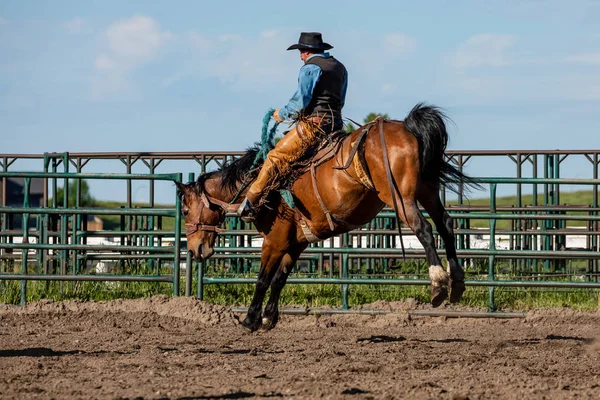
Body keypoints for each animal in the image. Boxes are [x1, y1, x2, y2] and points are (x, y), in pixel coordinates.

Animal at [176, 103, 480, 332]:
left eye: (185, 210)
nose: (194, 250)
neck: (260, 187)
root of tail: (406, 128)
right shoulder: (296, 243)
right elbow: (279, 279)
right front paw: (268, 318)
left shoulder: (274, 241)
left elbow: (263, 279)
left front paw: (250, 320)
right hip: (427, 190)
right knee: (446, 225)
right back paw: (457, 283)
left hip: (400, 197)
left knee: (425, 228)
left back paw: (438, 284)